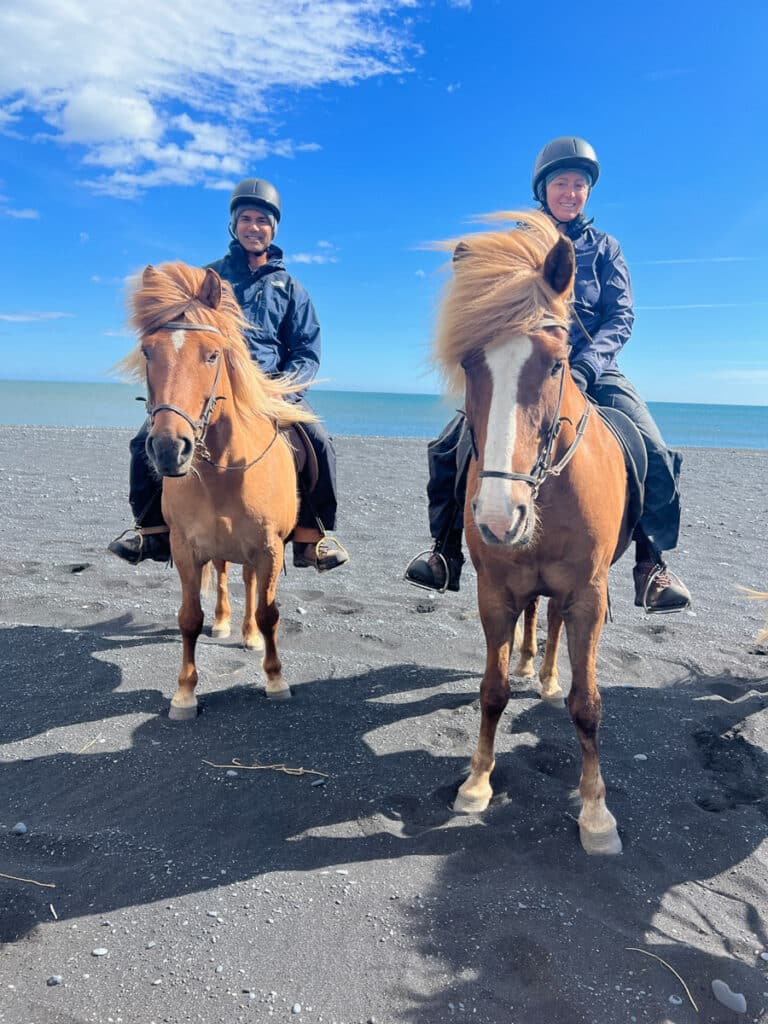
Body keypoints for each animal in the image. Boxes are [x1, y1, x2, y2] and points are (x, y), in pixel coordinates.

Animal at [118, 260, 315, 716]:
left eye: (212, 355)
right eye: (148, 352)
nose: (169, 449)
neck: (225, 471)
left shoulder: (268, 548)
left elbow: (268, 612)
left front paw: (275, 679)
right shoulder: (185, 548)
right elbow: (189, 617)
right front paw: (185, 693)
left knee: (249, 584)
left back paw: (247, 634)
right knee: (226, 576)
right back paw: (225, 624)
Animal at [438, 209, 638, 856]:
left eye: (555, 363)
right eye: (470, 363)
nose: (501, 518)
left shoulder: (589, 596)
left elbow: (588, 704)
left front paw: (596, 814)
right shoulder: (495, 592)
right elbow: (493, 689)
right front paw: (477, 783)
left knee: (550, 620)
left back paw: (546, 677)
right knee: (534, 617)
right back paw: (532, 667)